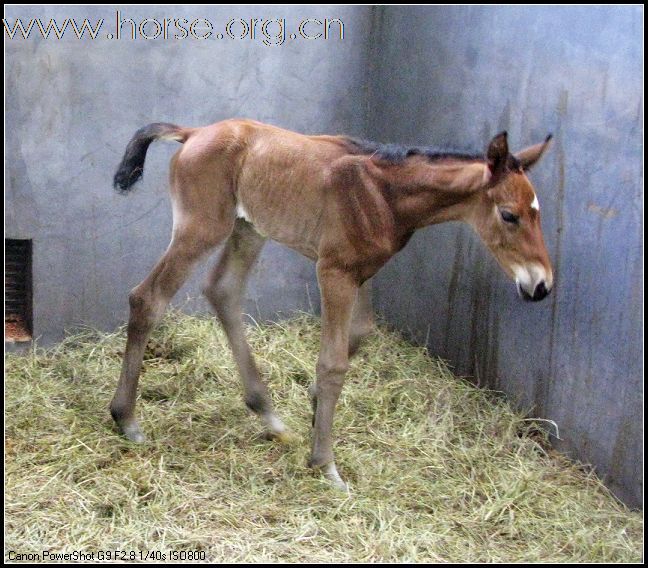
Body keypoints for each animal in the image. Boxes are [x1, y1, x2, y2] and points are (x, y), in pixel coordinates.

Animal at [110, 118, 552, 488]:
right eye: (509, 215)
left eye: (537, 212)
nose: (541, 285)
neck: (385, 193)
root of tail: (193, 132)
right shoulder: (334, 271)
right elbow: (334, 362)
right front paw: (325, 463)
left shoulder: (361, 271)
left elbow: (360, 333)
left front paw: (312, 404)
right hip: (201, 227)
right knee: (148, 297)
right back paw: (126, 418)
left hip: (249, 227)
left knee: (223, 291)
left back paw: (268, 414)